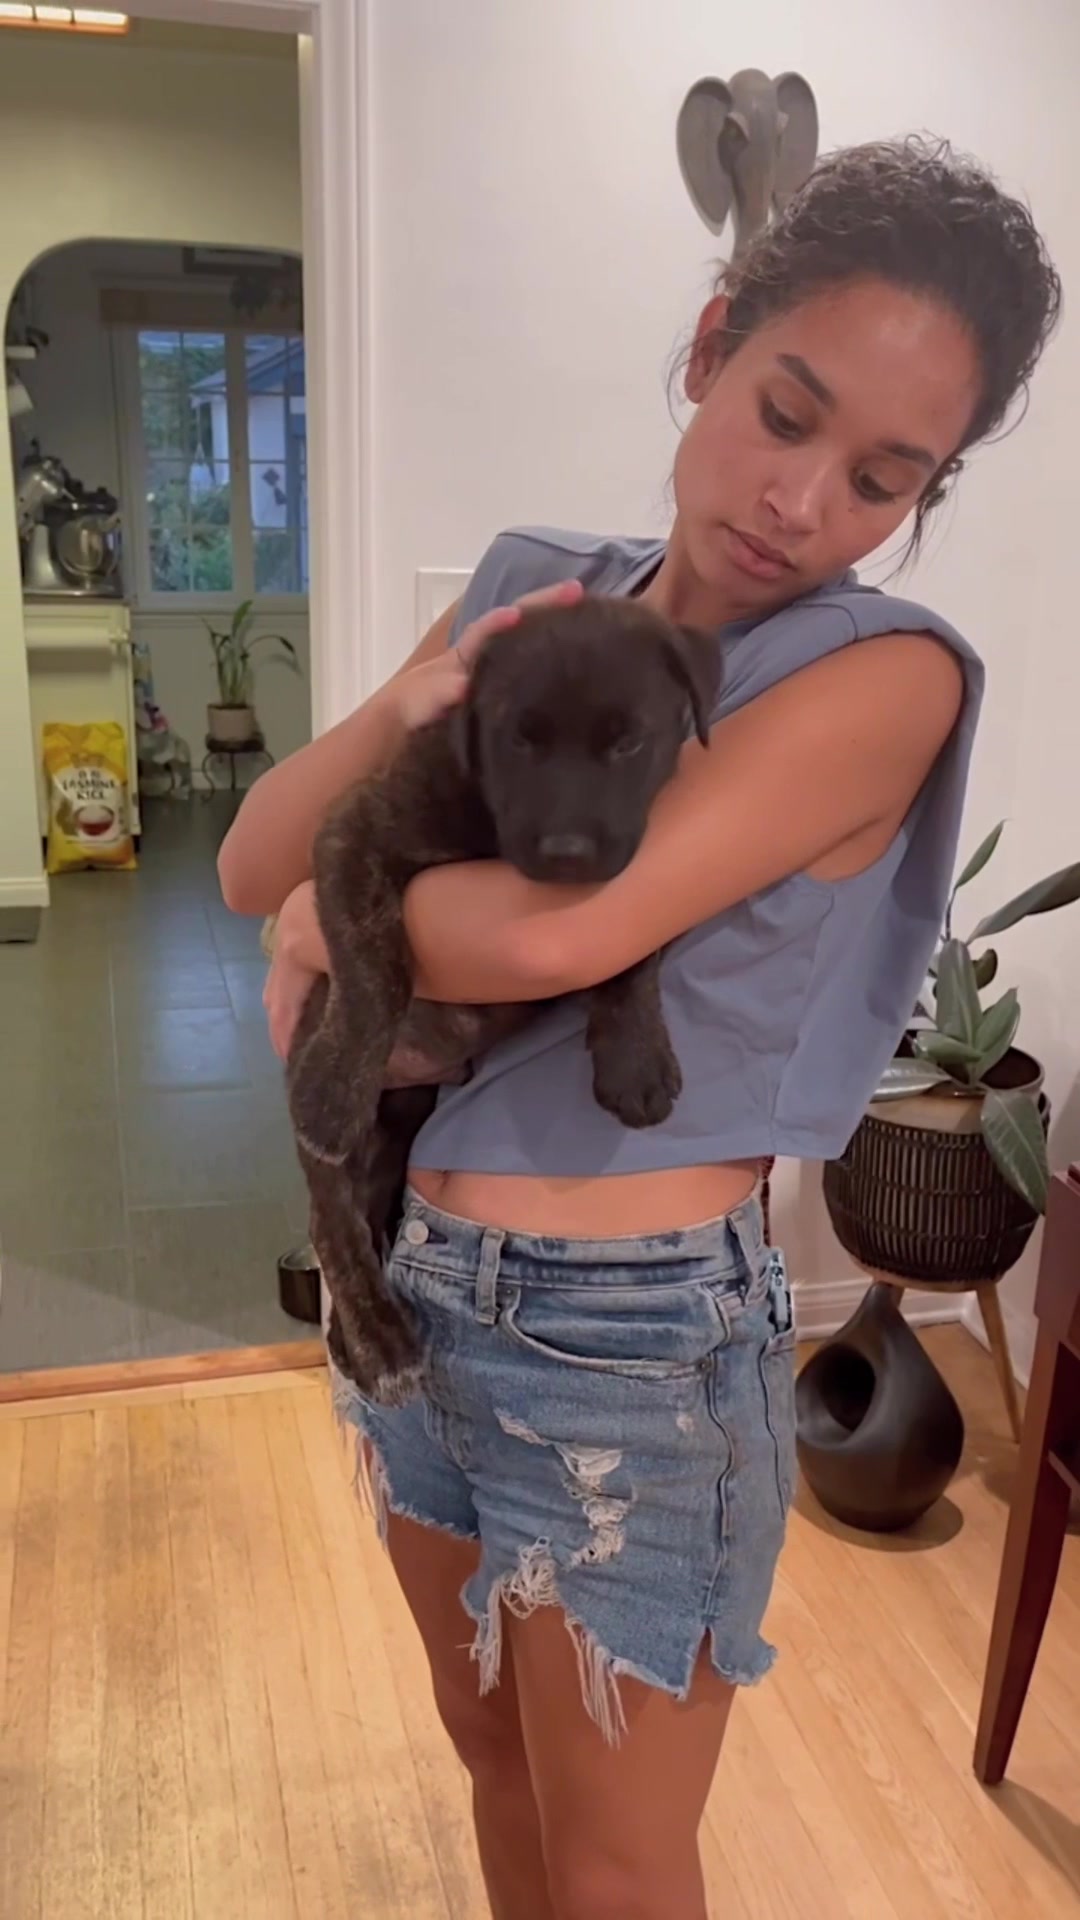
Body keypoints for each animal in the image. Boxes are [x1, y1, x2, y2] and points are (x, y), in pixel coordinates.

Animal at [285, 595, 719, 1403]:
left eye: (628, 742)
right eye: (519, 739)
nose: (567, 853)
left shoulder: (644, 879)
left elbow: (630, 950)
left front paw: (635, 1061)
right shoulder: (357, 826)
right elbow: (374, 960)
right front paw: (332, 1089)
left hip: (399, 1135)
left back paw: (352, 1342)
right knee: (333, 1226)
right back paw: (380, 1343)